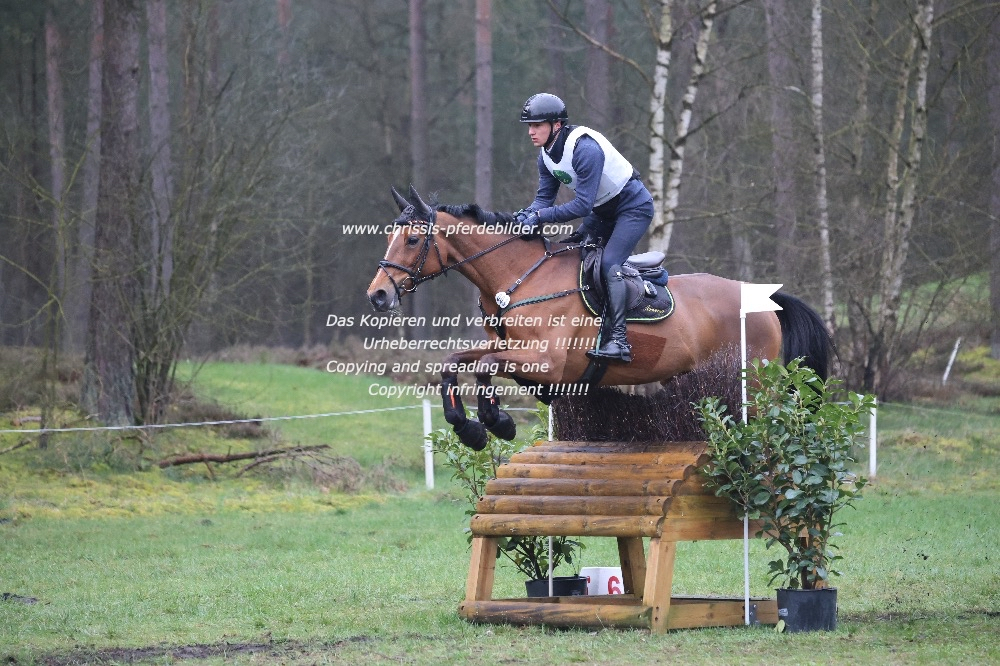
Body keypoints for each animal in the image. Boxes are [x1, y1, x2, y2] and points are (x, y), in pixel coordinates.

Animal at [364, 185, 832, 446]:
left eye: (411, 240)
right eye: (388, 236)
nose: (378, 296)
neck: (519, 279)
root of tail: (762, 300)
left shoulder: (549, 363)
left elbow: (485, 367)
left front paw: (497, 423)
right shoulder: (518, 356)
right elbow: (455, 363)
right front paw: (470, 429)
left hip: (754, 380)